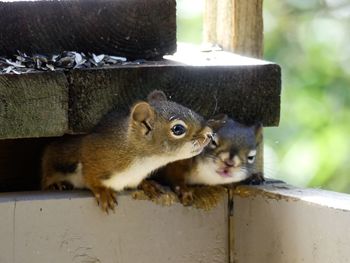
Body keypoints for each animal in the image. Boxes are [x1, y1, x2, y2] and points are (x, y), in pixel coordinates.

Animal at [40, 91, 211, 212]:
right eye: (178, 129)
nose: (209, 134)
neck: (144, 162)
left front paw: (148, 184)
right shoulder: (93, 152)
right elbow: (90, 177)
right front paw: (103, 192)